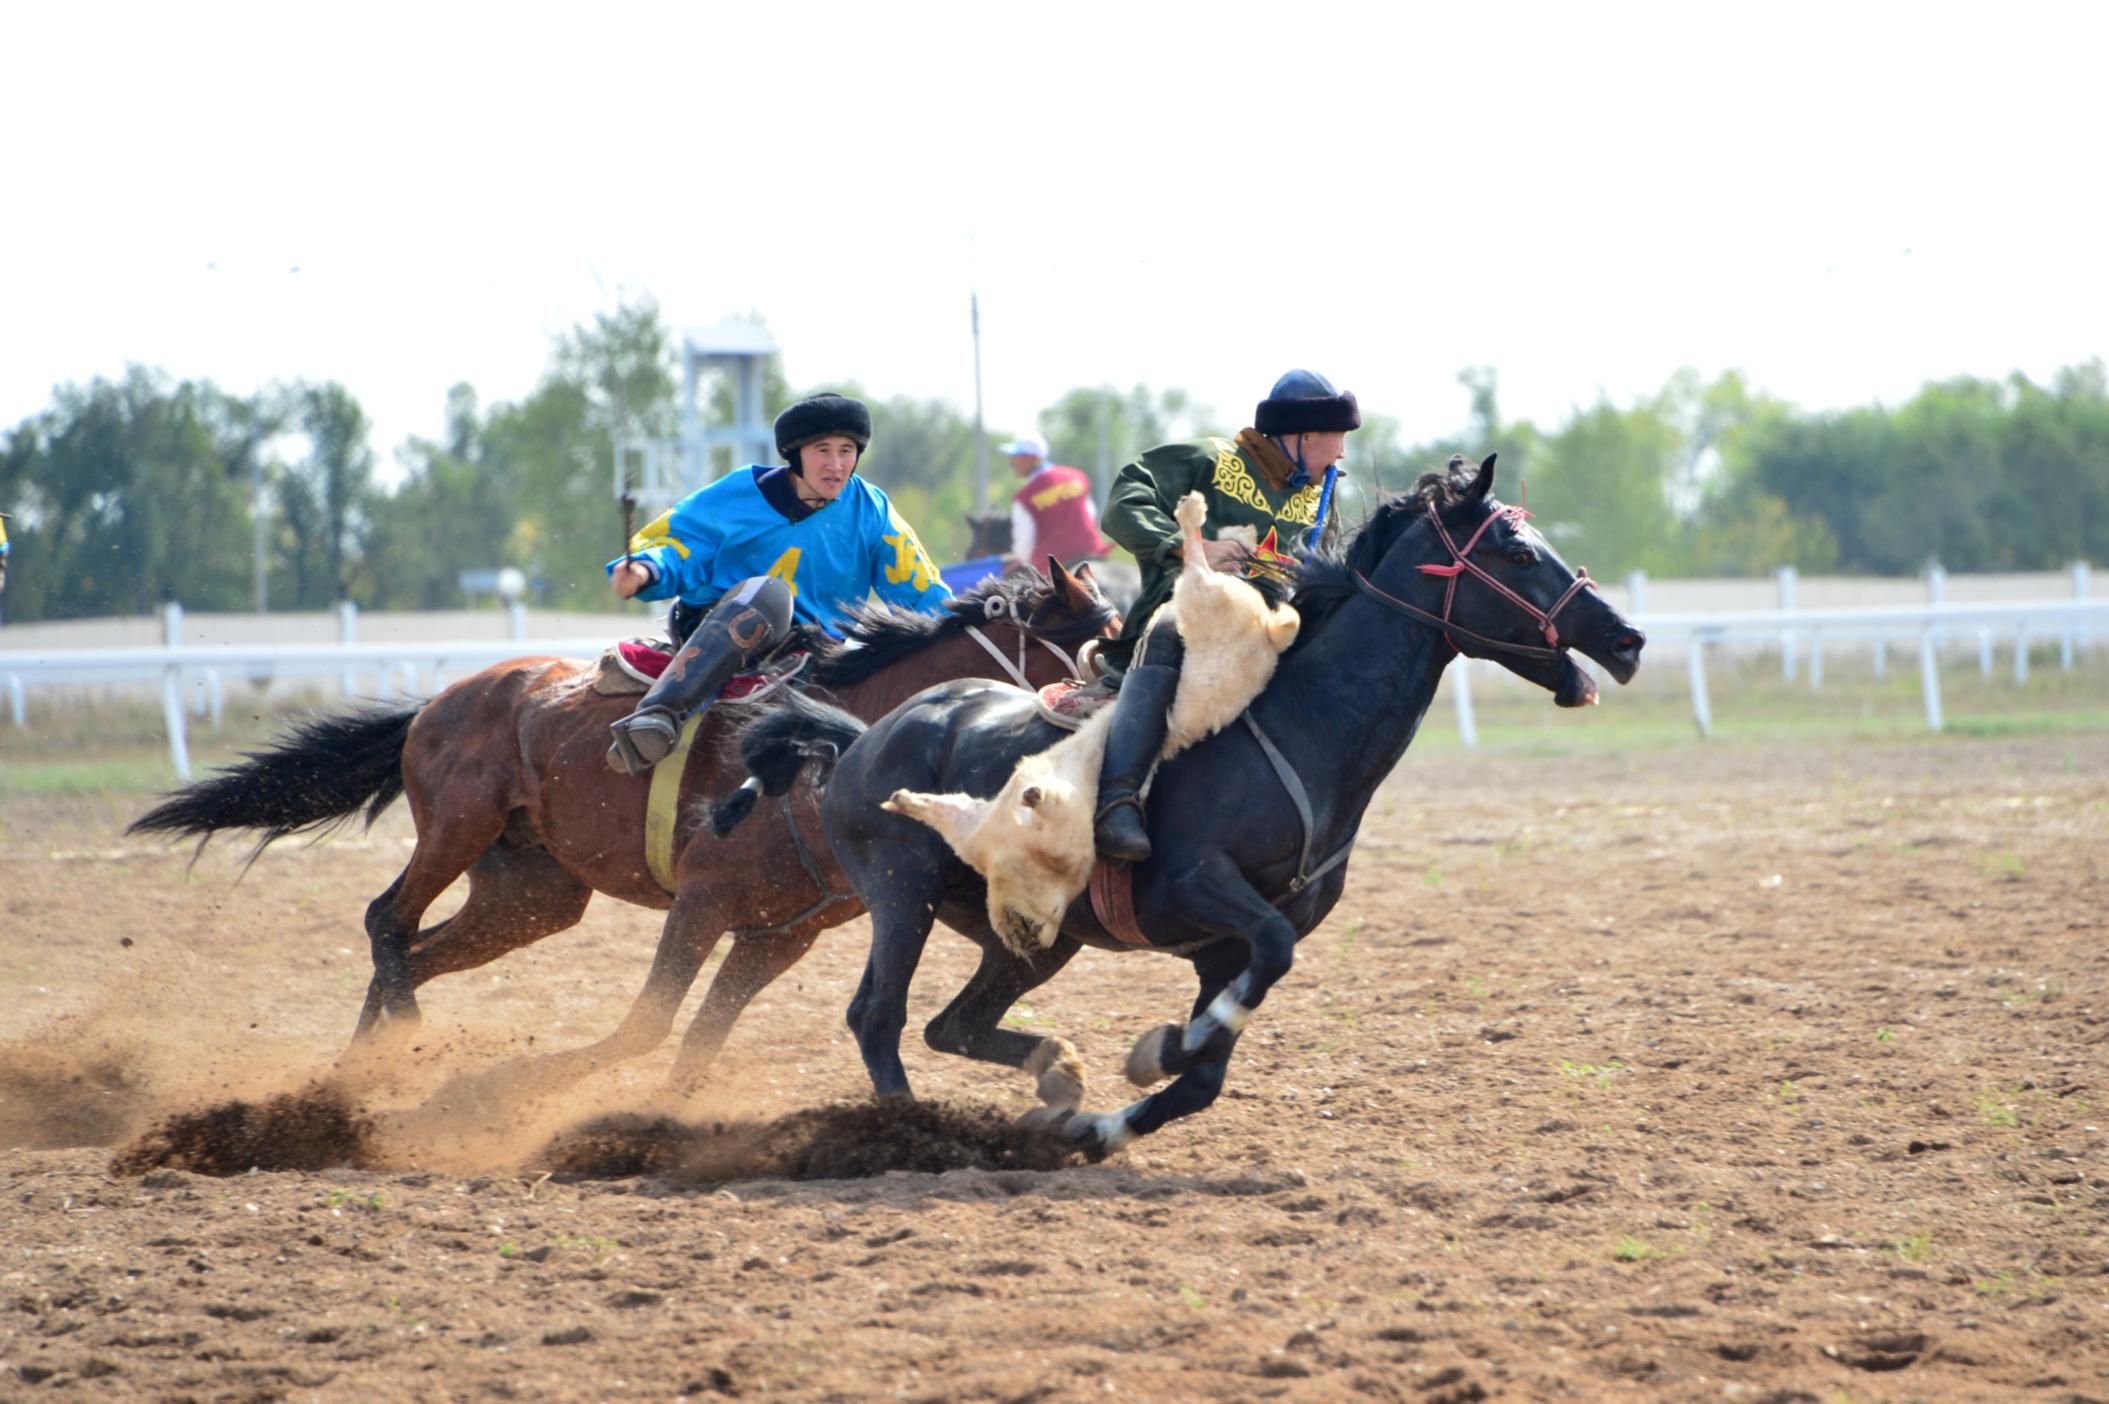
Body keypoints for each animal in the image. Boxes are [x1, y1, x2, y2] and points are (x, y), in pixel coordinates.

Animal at [127, 560, 1121, 1079]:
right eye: (1100, 644)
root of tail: (442, 699)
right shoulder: (705, 902)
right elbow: (646, 1028)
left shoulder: (780, 932)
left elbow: (696, 1043)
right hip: (456, 828)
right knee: (385, 923)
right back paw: (394, 1047)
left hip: (530, 895)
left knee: (414, 947)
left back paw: (368, 1069)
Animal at [725, 453, 1645, 1155]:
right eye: (1517, 551)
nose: (1626, 638)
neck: (1298, 726)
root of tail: (864, 736)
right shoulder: (1198, 889)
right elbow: (1259, 970)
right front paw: (1167, 1046)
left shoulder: (1217, 951)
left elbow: (1205, 1075)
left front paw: (1109, 1116)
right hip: (899, 893)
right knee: (877, 1017)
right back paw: (907, 1132)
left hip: (1029, 934)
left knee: (950, 1025)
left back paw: (1047, 1085)